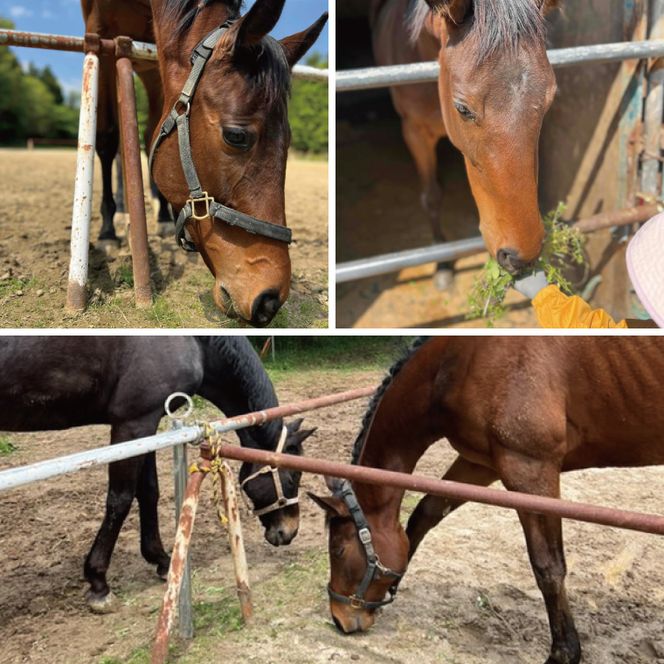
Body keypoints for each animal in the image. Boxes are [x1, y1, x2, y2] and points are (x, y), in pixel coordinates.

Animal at [0, 336, 315, 613]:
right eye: (292, 477)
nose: (289, 532)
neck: (197, 342)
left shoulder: (147, 424)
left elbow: (149, 491)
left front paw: (161, 559)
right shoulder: (133, 423)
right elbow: (120, 499)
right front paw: (98, 583)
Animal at [83, 1, 328, 326]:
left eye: (288, 139)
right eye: (235, 136)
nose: (269, 300)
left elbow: (150, 135)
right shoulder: (100, 31)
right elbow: (107, 137)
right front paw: (108, 232)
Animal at [310, 336, 664, 664]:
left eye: (338, 550)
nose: (340, 619)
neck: (459, 362)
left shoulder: (530, 469)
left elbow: (548, 566)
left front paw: (563, 653)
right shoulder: (482, 463)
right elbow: (426, 513)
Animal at [369, 0, 560, 287]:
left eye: (549, 100)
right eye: (462, 108)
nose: (521, 257)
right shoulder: (414, 132)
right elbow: (432, 197)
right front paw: (442, 263)